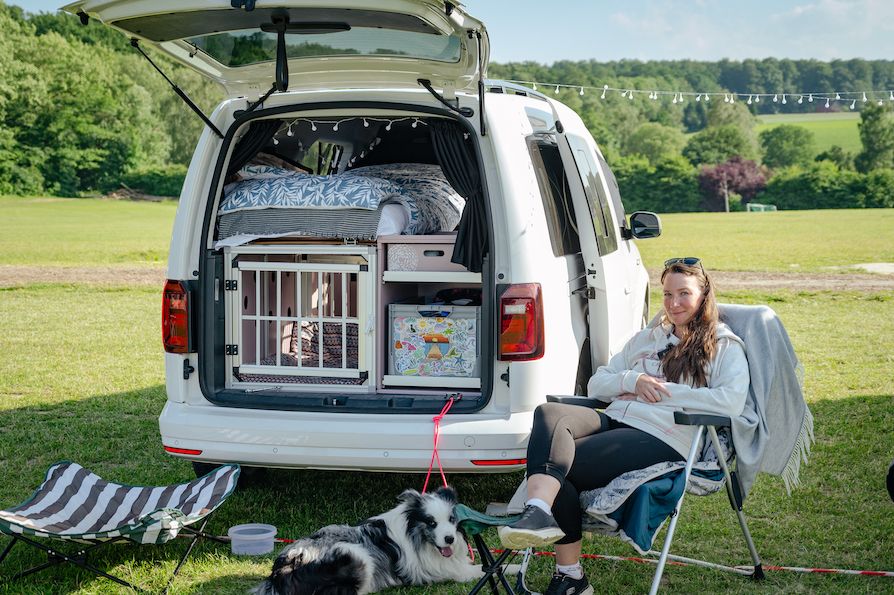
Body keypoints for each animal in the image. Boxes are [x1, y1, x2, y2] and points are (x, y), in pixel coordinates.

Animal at [256, 488, 486, 595]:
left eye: (451, 519)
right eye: (431, 522)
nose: (450, 539)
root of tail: (280, 571)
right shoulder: (449, 573)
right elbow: (488, 569)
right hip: (356, 554)